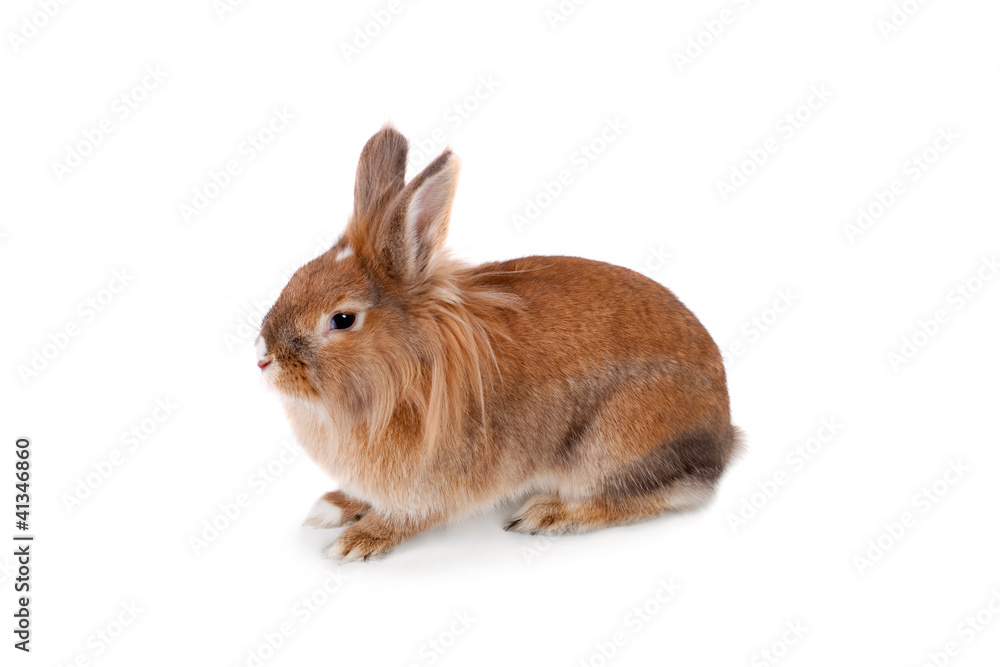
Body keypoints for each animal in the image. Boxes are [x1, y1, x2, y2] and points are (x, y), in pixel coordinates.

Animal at [256, 124, 742, 562]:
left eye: (342, 319)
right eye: (298, 276)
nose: (264, 358)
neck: (403, 374)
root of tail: (723, 433)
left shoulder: (428, 487)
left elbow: (406, 517)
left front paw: (355, 542)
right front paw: (333, 507)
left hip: (611, 448)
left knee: (643, 498)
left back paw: (547, 514)